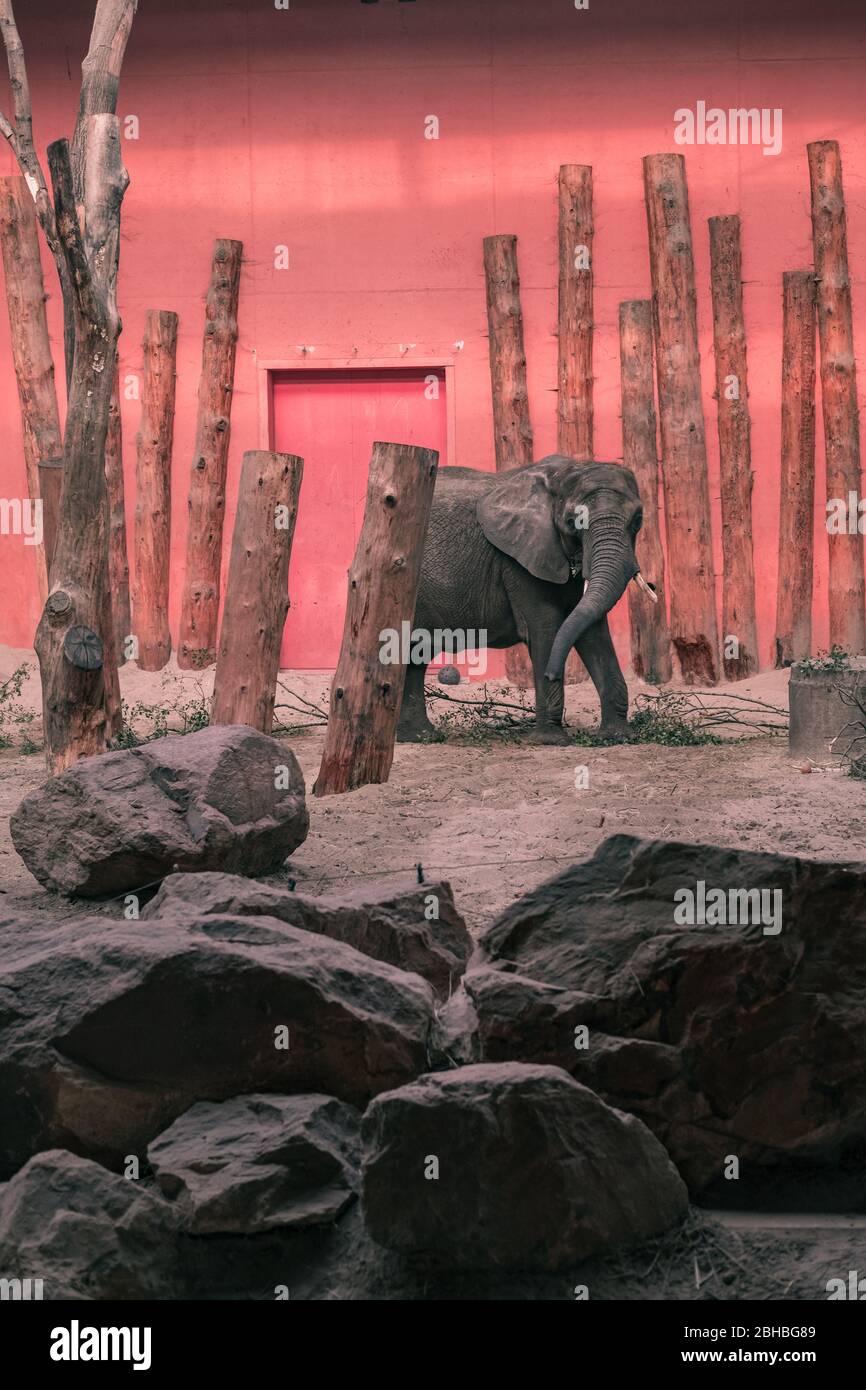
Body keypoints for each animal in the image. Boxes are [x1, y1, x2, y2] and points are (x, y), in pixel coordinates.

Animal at [395, 454, 657, 744]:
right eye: (571, 522)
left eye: (638, 520)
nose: (551, 673)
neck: (564, 473)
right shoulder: (519, 560)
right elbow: (546, 629)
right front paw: (550, 741)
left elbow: (591, 630)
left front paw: (617, 737)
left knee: (416, 654)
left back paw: (421, 737)